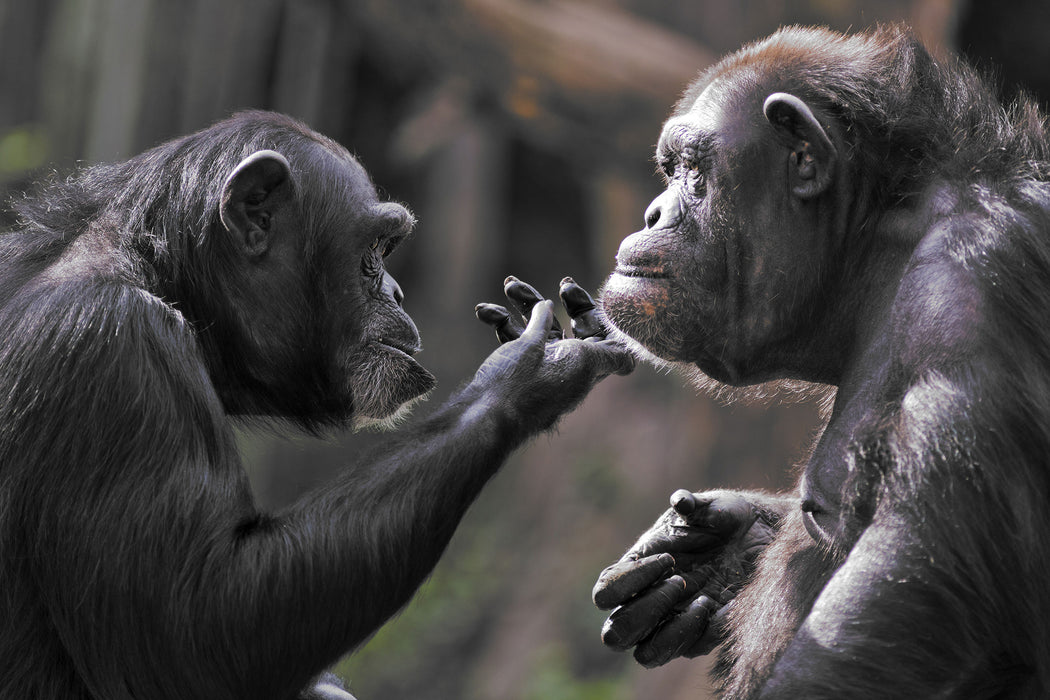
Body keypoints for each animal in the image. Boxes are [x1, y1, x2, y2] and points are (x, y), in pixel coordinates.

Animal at [0, 110, 634, 700]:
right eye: (374, 249)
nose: (397, 292)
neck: (161, 277)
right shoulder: (112, 347)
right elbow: (192, 633)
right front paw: (524, 373)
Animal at [588, 24, 1050, 696]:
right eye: (670, 169)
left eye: (695, 173)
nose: (653, 213)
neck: (874, 247)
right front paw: (721, 550)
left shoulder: (968, 300)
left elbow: (913, 587)